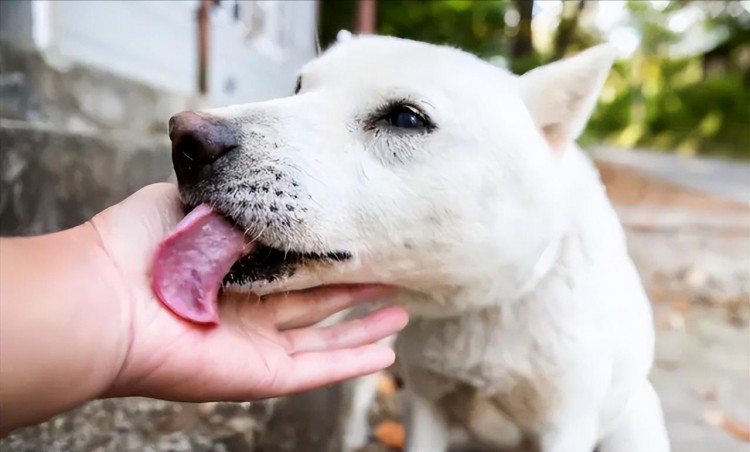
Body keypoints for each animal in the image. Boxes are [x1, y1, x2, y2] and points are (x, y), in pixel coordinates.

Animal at [167, 31, 672, 452]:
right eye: (298, 88)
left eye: (407, 118)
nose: (184, 140)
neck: (478, 308)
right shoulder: (427, 407)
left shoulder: (565, 425)